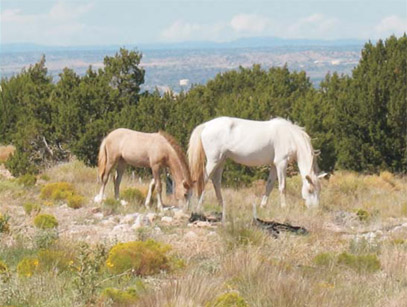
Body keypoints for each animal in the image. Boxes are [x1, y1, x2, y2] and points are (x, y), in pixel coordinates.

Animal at [189, 117, 328, 221]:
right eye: (310, 190)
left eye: (319, 191)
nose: (315, 209)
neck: (291, 136)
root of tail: (206, 125)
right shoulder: (281, 163)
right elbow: (282, 186)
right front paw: (284, 207)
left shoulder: (274, 165)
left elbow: (269, 186)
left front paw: (262, 206)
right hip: (214, 160)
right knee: (204, 179)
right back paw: (198, 205)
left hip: (221, 160)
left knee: (216, 181)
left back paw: (221, 205)